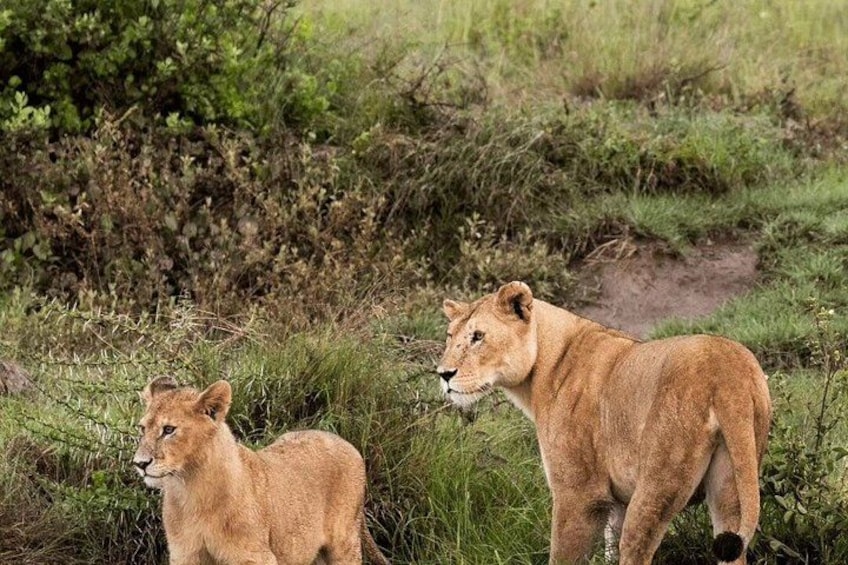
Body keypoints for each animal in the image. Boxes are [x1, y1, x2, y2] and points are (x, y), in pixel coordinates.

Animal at [133, 376, 389, 565]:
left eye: (169, 430)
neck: (192, 487)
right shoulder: (185, 555)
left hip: (344, 544)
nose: (139, 463)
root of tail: (345, 442)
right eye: (142, 429)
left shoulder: (255, 556)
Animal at [436, 281, 771, 565]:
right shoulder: (616, 500)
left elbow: (564, 556)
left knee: (637, 549)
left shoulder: (579, 494)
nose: (443, 374)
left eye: (478, 336)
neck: (544, 366)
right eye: (450, 336)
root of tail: (728, 374)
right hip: (734, 482)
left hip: (656, 485)